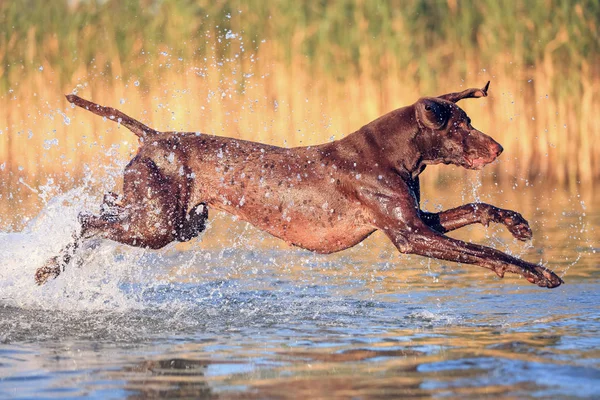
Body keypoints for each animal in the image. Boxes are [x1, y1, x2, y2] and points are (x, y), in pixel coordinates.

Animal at [34, 83, 564, 288]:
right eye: (460, 127)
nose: (499, 148)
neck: (391, 153)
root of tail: (153, 136)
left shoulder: (418, 221)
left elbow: (477, 209)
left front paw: (517, 223)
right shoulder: (411, 236)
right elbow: (486, 252)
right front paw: (537, 271)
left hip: (170, 221)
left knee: (104, 215)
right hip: (155, 225)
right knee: (87, 220)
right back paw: (46, 269)